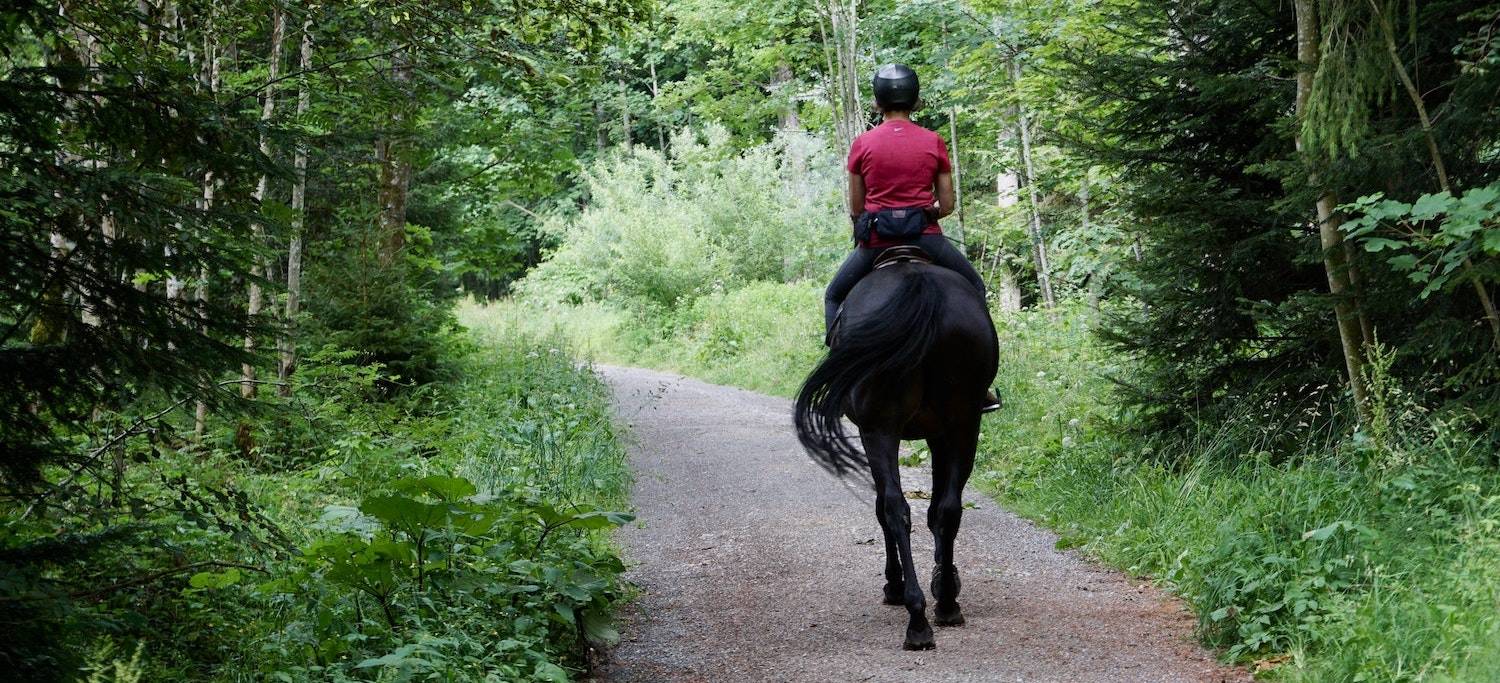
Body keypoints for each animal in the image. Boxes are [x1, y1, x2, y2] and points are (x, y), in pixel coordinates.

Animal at [798, 258, 996, 651]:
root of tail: (918, 283)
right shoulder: (940, 433)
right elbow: (937, 509)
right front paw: (943, 576)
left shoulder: (877, 432)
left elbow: (884, 508)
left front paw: (896, 582)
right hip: (964, 424)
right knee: (946, 509)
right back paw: (945, 604)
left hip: (880, 428)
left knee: (894, 508)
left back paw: (915, 615)